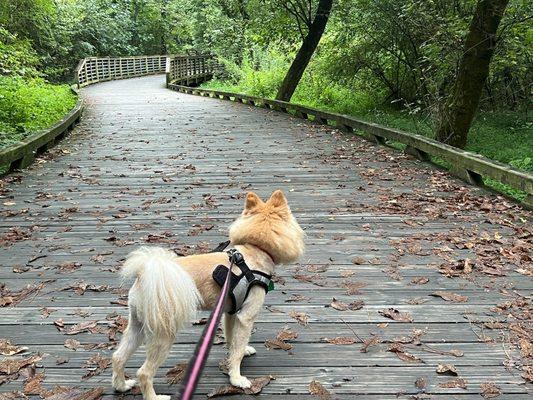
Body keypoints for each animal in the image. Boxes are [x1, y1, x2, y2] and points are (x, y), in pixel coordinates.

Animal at [111, 191, 304, 400]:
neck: (254, 250)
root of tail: (144, 274)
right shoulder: (246, 317)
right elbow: (237, 347)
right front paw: (237, 379)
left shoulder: (230, 312)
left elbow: (232, 341)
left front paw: (239, 354)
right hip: (163, 334)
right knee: (144, 373)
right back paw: (155, 397)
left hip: (137, 326)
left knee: (118, 357)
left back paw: (121, 386)